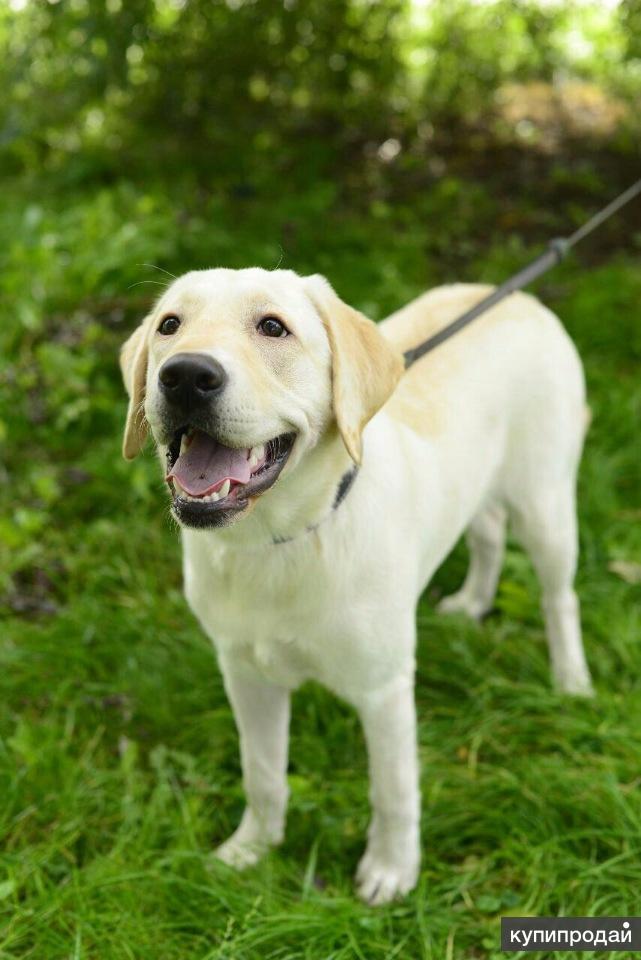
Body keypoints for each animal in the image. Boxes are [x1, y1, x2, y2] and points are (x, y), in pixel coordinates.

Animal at [120, 268, 593, 904]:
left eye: (273, 327)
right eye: (170, 324)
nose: (185, 376)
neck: (279, 544)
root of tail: (514, 294)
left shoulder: (383, 689)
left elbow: (392, 791)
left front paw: (391, 873)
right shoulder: (245, 675)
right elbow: (262, 773)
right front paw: (251, 848)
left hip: (546, 504)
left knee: (559, 597)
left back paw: (571, 681)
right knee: (488, 530)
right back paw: (471, 602)